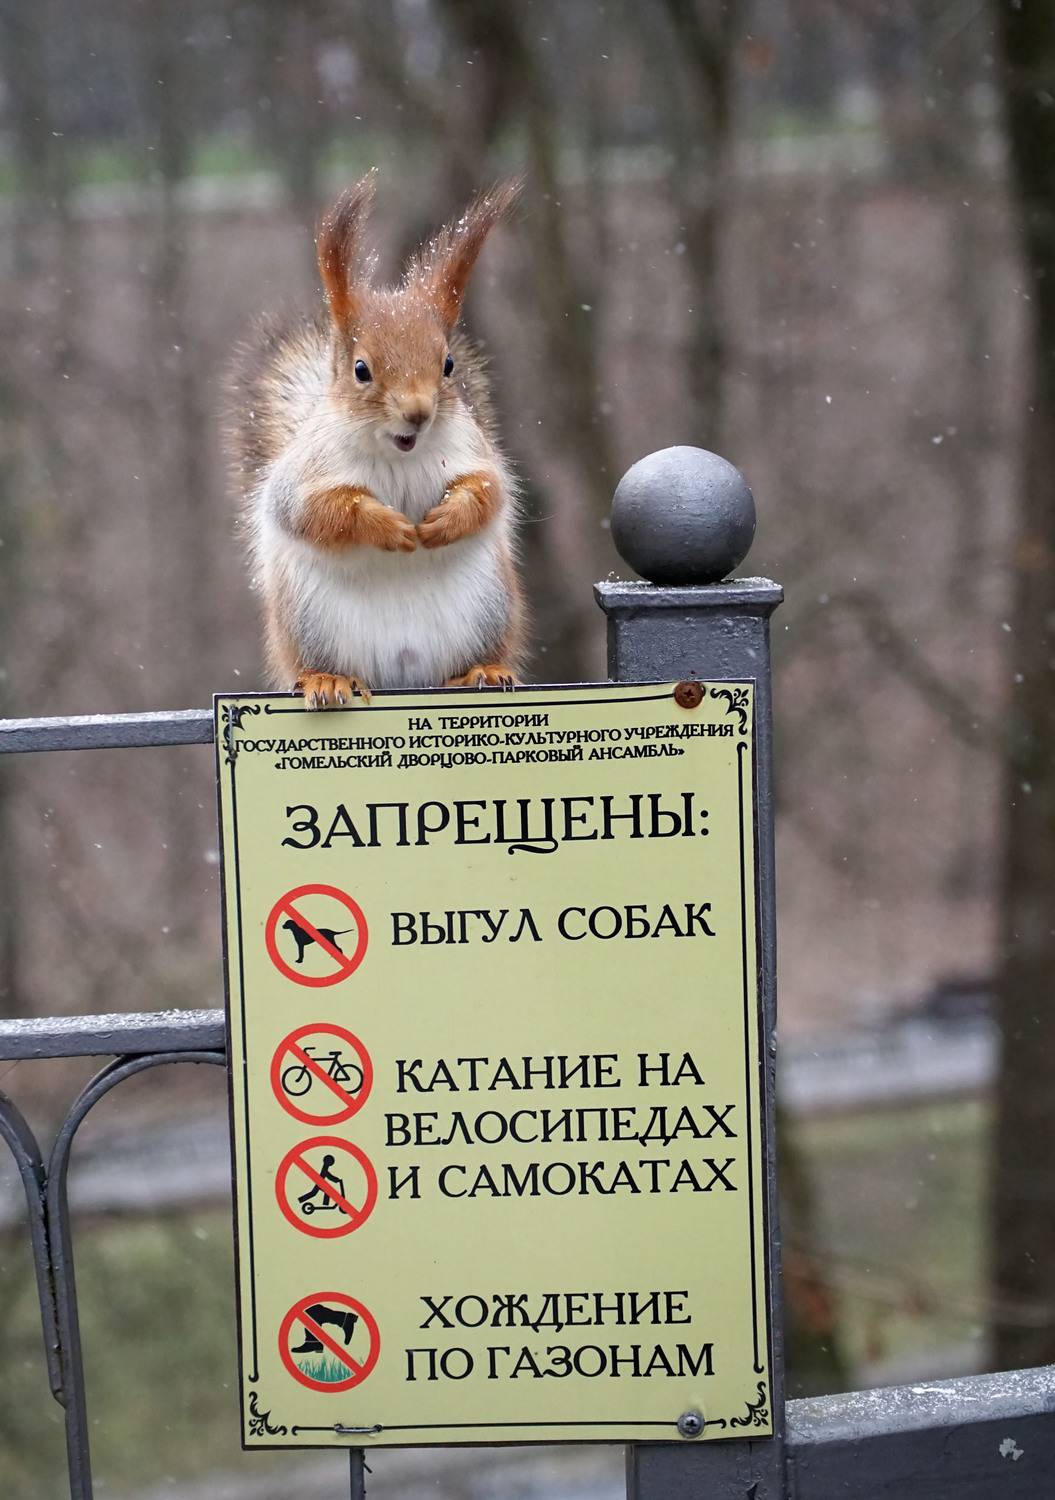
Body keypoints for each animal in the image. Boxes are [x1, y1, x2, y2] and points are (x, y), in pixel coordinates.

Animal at [225, 172, 525, 709]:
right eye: (361, 369)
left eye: (448, 364)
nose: (418, 412)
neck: (399, 452)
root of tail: (403, 675)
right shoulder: (303, 474)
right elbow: (310, 511)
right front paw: (385, 526)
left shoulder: (475, 453)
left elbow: (490, 493)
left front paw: (446, 519)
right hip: (310, 623)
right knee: (317, 664)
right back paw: (327, 680)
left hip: (489, 609)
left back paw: (482, 671)